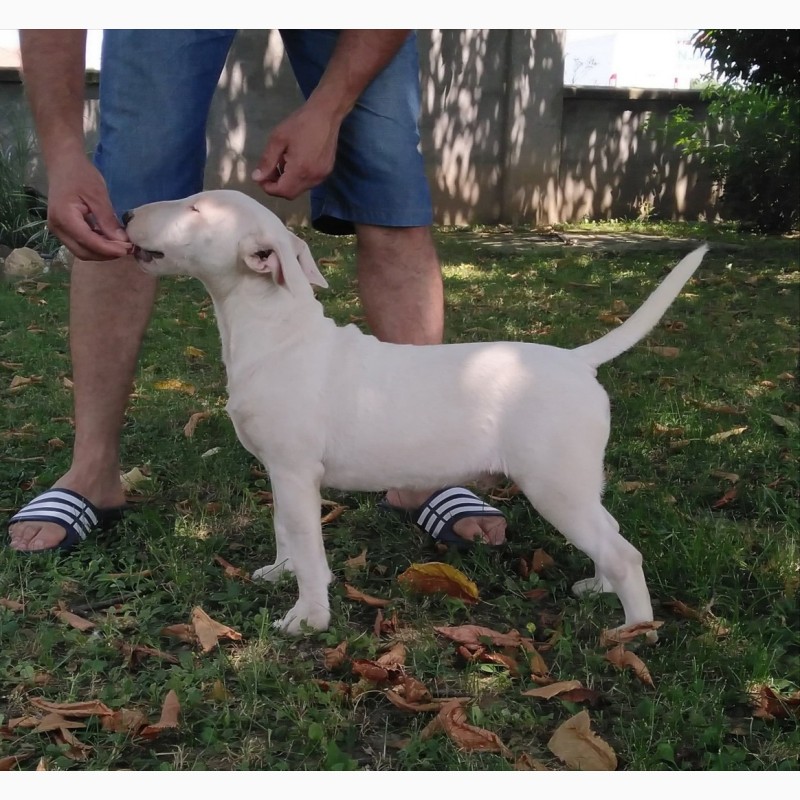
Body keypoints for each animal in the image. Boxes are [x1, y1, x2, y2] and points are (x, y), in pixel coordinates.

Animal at [125, 191, 708, 636]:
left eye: (196, 208)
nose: (126, 213)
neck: (276, 332)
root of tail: (576, 360)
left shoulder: (295, 470)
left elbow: (310, 548)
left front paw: (307, 618)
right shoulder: (280, 473)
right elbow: (285, 528)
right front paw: (278, 571)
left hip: (553, 484)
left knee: (624, 552)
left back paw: (633, 634)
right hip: (577, 482)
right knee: (610, 532)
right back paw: (599, 588)